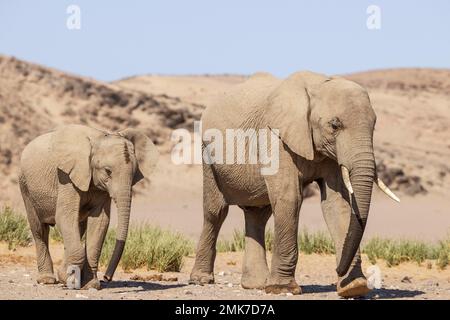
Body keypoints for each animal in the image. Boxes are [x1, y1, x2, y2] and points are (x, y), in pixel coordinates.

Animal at [19, 124, 160, 288]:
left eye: (135, 173)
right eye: (107, 171)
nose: (106, 277)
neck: (99, 138)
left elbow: (100, 222)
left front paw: (90, 285)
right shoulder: (67, 177)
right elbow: (64, 216)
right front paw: (69, 279)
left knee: (78, 229)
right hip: (25, 186)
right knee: (39, 230)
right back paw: (47, 280)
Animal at [188, 72, 400, 298]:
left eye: (374, 125)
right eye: (335, 125)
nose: (337, 269)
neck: (318, 85)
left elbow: (337, 204)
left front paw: (354, 287)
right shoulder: (277, 138)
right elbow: (290, 199)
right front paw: (282, 289)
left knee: (257, 214)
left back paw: (256, 284)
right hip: (207, 155)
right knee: (216, 212)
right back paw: (201, 280)